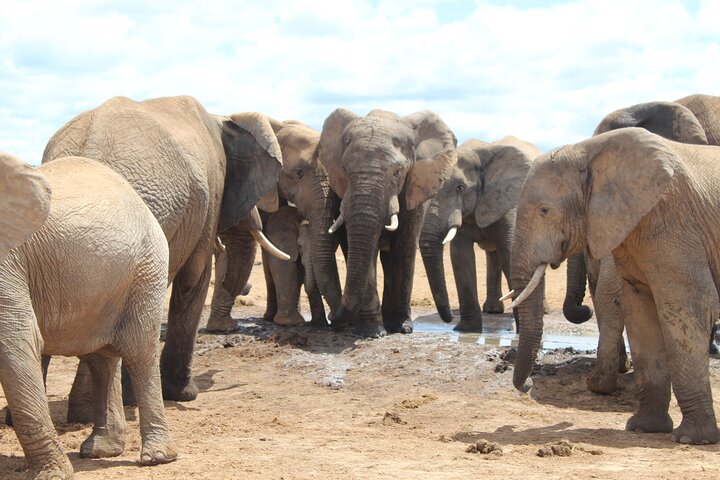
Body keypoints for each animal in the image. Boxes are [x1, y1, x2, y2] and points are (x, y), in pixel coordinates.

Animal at [0, 153, 176, 480]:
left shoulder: (7, 263)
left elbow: (14, 343)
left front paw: (53, 476)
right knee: (100, 358)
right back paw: (102, 449)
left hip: (147, 266)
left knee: (138, 352)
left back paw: (157, 456)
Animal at [42, 95, 285, 416]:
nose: (243, 293)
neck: (219, 120)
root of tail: (88, 149)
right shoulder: (210, 197)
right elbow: (194, 279)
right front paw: (184, 394)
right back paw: (95, 410)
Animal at [318, 109, 457, 337]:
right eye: (345, 169)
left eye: (398, 172)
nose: (332, 319)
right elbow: (362, 250)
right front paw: (373, 331)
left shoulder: (413, 188)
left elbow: (404, 247)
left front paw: (402, 328)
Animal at [419, 136, 540, 332]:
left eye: (460, 188)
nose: (449, 317)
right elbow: (461, 256)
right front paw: (466, 330)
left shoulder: (507, 202)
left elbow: (509, 252)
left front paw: (520, 331)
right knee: (493, 255)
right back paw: (492, 310)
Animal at [510, 127, 720, 445]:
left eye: (545, 211)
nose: (529, 384)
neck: (588, 149)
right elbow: (640, 314)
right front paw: (645, 428)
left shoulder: (672, 222)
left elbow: (687, 307)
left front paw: (692, 439)